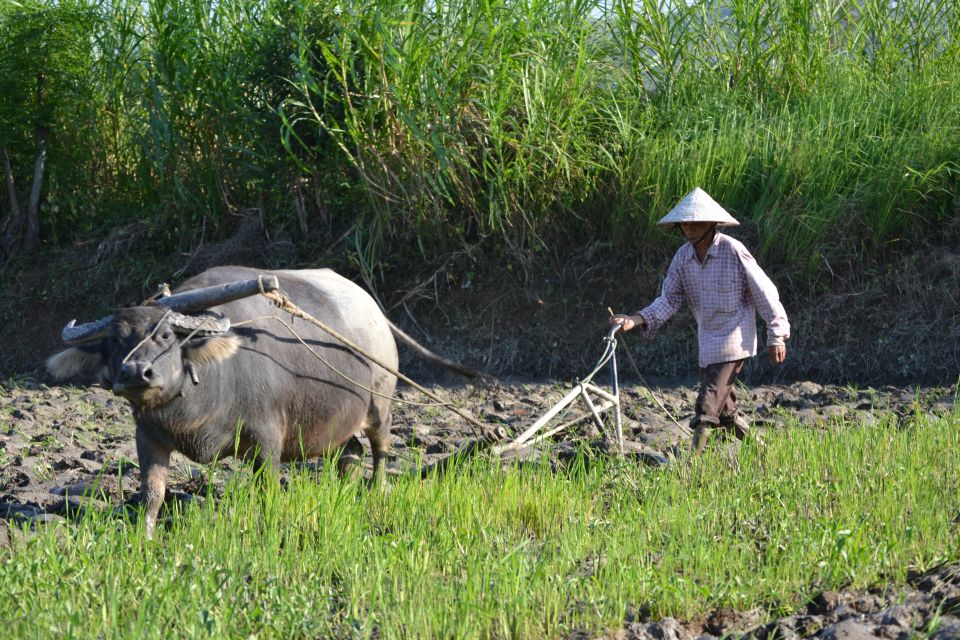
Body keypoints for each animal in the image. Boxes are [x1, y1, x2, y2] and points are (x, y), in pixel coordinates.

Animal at [48, 264, 476, 536]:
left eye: (165, 336)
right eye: (112, 341)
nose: (136, 373)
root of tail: (373, 310)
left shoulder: (267, 439)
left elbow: (268, 487)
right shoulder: (148, 436)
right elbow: (152, 493)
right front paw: (146, 536)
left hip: (381, 403)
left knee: (381, 449)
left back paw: (375, 489)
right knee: (349, 452)